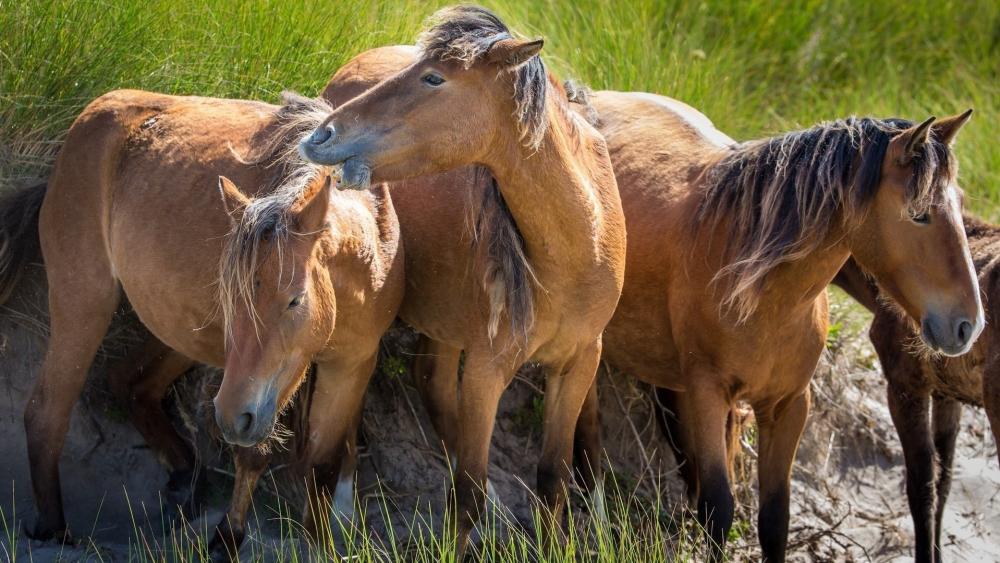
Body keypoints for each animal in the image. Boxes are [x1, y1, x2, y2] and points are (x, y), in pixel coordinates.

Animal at [0, 90, 402, 556]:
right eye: (232, 297)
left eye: (295, 300)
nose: (231, 418)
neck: (366, 258)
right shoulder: (251, 386)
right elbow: (253, 453)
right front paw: (228, 536)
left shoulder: (351, 366)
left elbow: (322, 462)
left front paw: (320, 542)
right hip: (85, 302)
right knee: (46, 412)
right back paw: (56, 529)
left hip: (180, 337)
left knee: (130, 383)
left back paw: (185, 481)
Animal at [302, 6, 624, 556]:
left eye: (434, 78)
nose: (322, 134)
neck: (579, 245)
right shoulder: (486, 370)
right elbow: (466, 494)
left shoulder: (580, 361)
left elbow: (553, 479)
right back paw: (344, 506)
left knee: (428, 379)